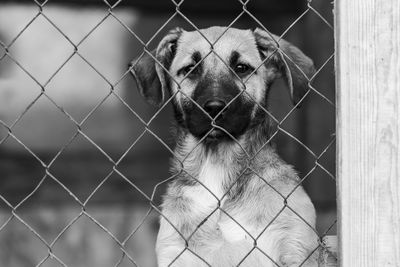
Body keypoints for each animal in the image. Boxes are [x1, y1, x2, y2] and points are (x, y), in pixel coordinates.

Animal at [131, 26, 318, 267]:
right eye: (190, 69)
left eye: (241, 68)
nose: (214, 107)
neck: (216, 165)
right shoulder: (175, 253)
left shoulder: (294, 248)